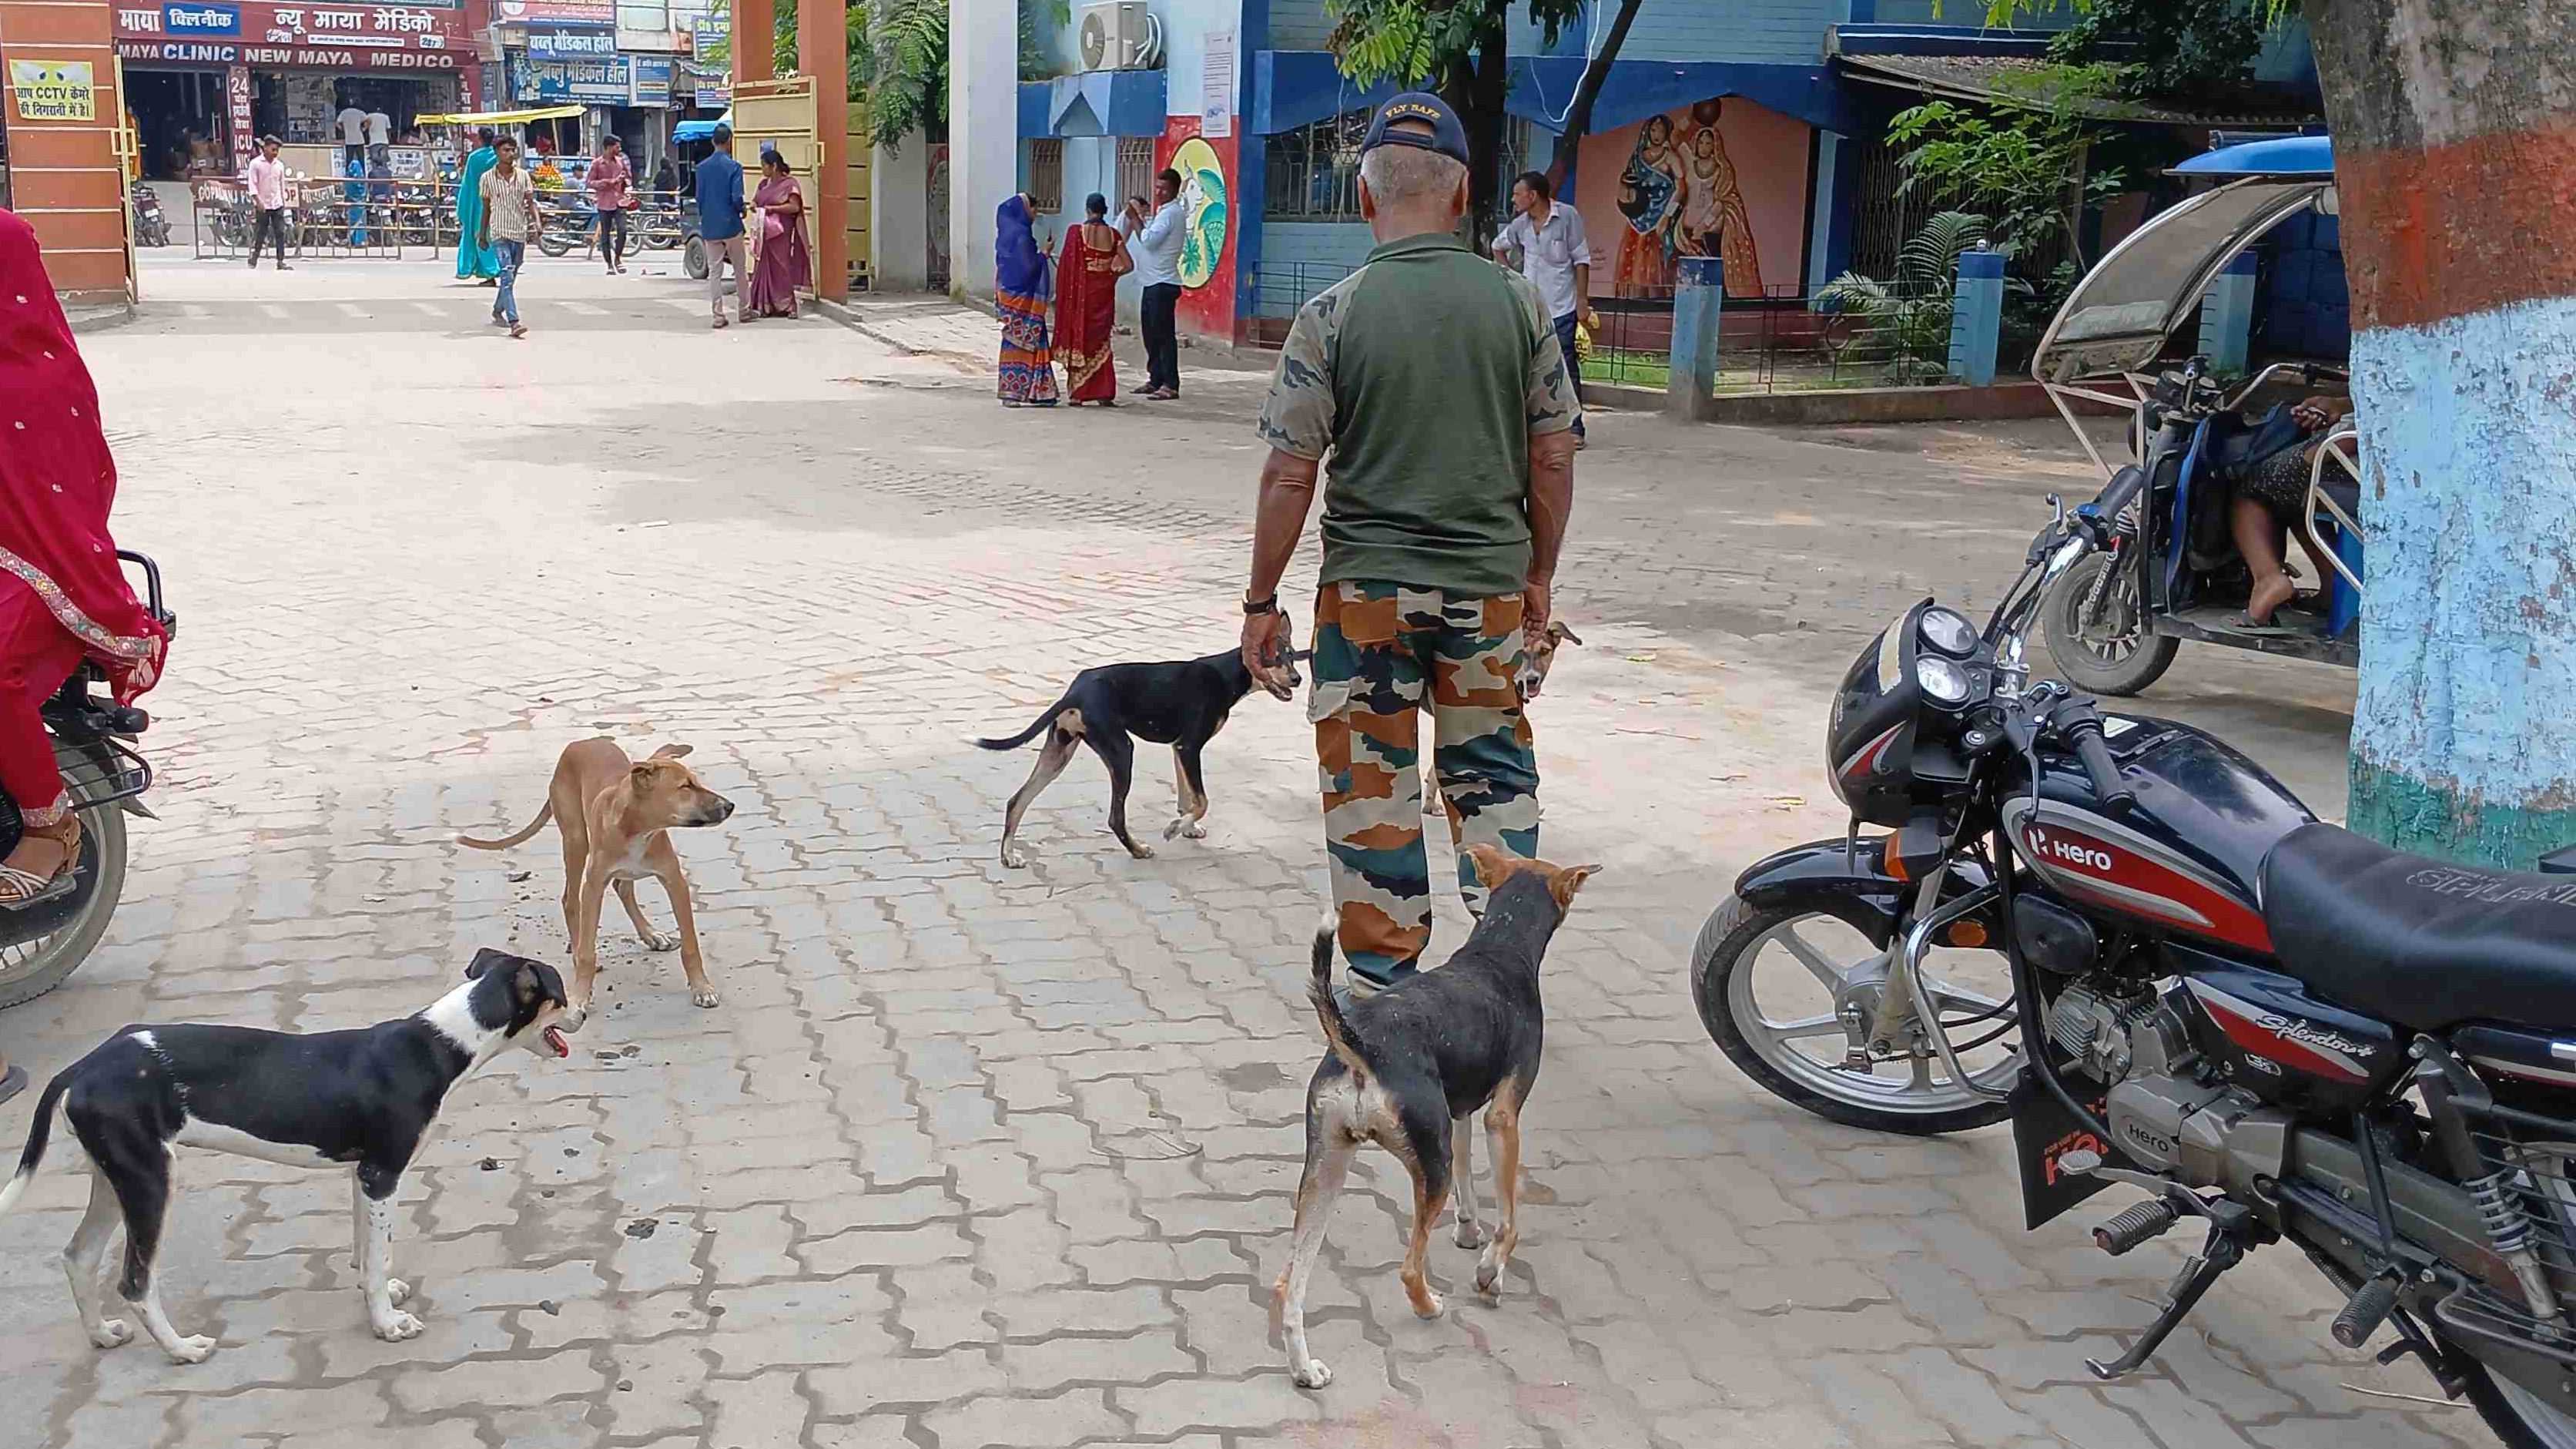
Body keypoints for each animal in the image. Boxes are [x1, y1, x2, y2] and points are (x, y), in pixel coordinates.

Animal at [0, 943, 569, 1361]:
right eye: (561, 997)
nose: (584, 1010)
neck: (438, 1043)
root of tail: (82, 1067)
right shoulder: (383, 1172)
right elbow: (379, 1255)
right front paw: (386, 1324)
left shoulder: (362, 1175)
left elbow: (367, 1250)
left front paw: (378, 1294)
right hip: (149, 1181)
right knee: (136, 1282)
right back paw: (183, 1349)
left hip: (115, 1176)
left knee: (78, 1257)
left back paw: (102, 1336)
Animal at [453, 737, 731, 1021]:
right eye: (685, 787)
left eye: (696, 782)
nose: (729, 806)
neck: (638, 830)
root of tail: (580, 743)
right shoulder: (594, 886)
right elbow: (588, 952)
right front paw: (579, 997)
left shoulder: (675, 883)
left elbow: (691, 945)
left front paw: (702, 987)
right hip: (576, 842)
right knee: (570, 900)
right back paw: (577, 951)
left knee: (623, 887)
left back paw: (651, 935)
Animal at [968, 644, 1298, 866]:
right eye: (1274, 658)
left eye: (1291, 654)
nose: (1297, 678)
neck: (1224, 673)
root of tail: (1075, 693)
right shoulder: (1190, 746)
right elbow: (1202, 801)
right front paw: (1175, 829)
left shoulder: (1179, 748)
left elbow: (1187, 797)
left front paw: (1186, 827)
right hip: (1121, 752)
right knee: (1116, 818)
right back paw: (1138, 850)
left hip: (1058, 754)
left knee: (1017, 800)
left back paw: (1009, 855)